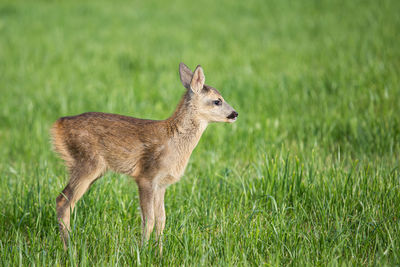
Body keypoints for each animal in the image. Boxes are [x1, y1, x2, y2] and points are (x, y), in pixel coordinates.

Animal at [50, 62, 238, 253]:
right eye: (217, 101)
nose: (235, 114)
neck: (173, 141)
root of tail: (58, 124)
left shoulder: (161, 184)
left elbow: (162, 219)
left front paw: (159, 252)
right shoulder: (146, 176)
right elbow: (149, 219)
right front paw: (143, 251)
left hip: (93, 169)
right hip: (87, 162)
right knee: (63, 201)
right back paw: (69, 249)